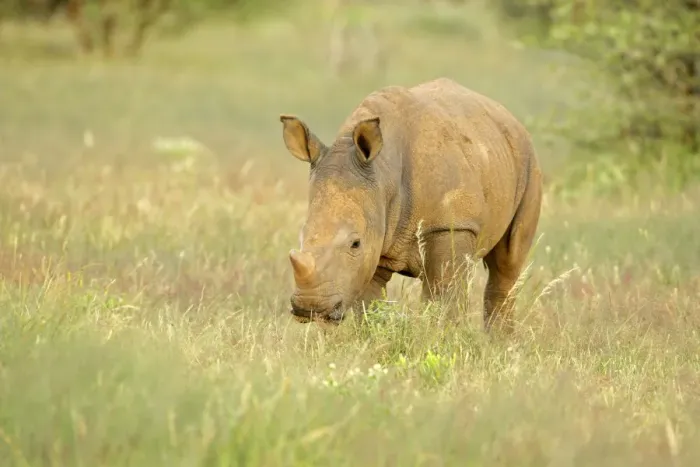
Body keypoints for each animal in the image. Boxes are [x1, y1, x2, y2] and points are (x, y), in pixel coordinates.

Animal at [280, 77, 542, 331]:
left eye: (355, 243)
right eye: (301, 237)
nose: (310, 308)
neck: (383, 174)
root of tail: (507, 116)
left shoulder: (450, 225)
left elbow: (443, 299)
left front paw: (439, 340)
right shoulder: (374, 238)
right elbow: (369, 305)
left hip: (528, 161)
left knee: (507, 264)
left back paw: (498, 342)